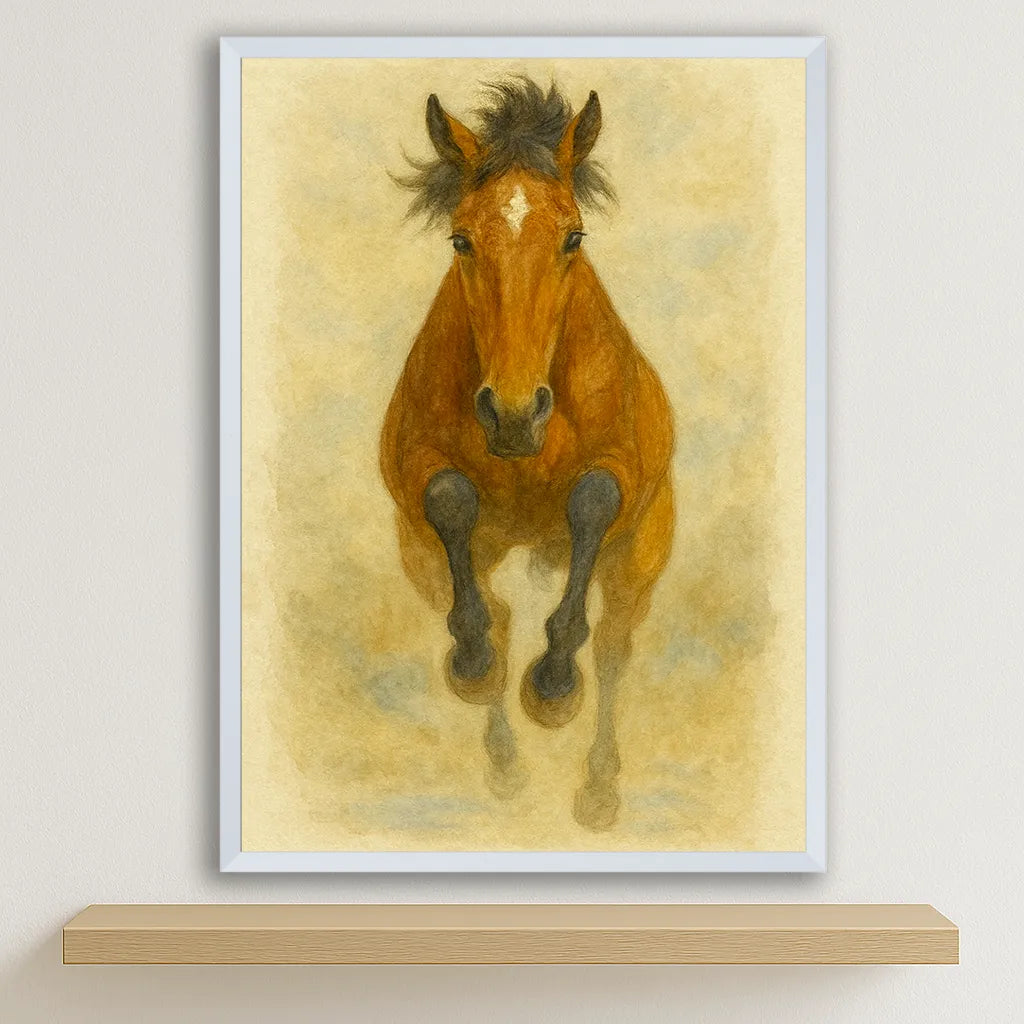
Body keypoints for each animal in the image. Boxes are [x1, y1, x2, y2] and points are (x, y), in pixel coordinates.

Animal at [379, 79, 674, 830]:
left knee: (614, 648)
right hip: (427, 558)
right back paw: (503, 753)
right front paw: (475, 661)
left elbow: (593, 499)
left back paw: (598, 789)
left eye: (573, 236)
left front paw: (553, 684)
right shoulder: (413, 476)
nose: (512, 412)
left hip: (641, 557)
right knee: (498, 615)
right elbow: (448, 497)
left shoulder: (621, 470)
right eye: (461, 238)